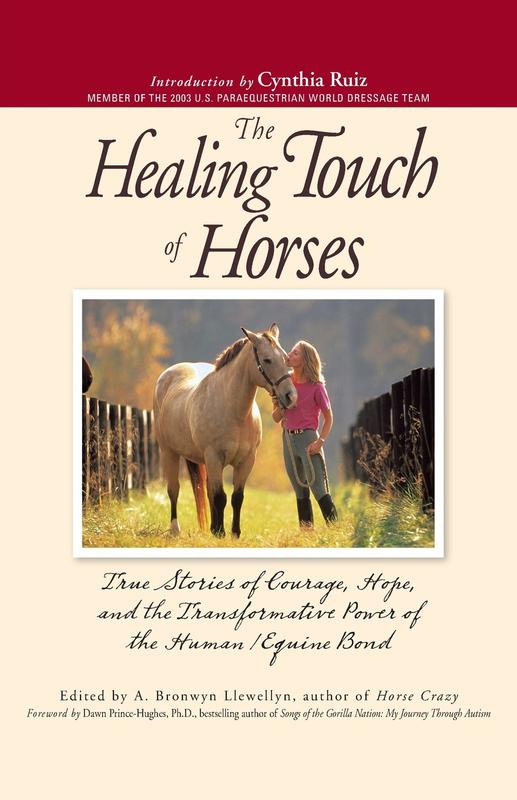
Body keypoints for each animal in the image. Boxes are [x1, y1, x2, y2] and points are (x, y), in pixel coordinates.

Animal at [153, 323, 297, 537]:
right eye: (267, 359)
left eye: (285, 357)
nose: (290, 396)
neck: (234, 412)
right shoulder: (214, 457)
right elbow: (220, 497)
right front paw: (220, 532)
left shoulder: (246, 461)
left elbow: (236, 497)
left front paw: (233, 532)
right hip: (168, 453)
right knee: (174, 490)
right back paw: (175, 529)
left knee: (207, 491)